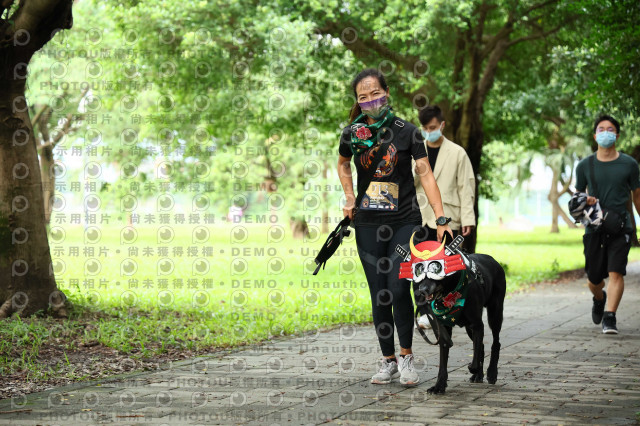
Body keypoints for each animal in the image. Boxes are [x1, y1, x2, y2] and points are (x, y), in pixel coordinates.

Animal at [398, 234, 506, 394]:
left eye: (436, 270)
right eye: (418, 273)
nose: (421, 291)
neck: (450, 293)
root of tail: (494, 260)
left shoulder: (477, 324)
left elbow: (475, 358)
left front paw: (473, 368)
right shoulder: (444, 329)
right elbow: (443, 363)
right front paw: (439, 386)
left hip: (495, 313)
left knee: (495, 342)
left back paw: (491, 373)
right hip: (469, 328)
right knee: (481, 346)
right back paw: (479, 375)